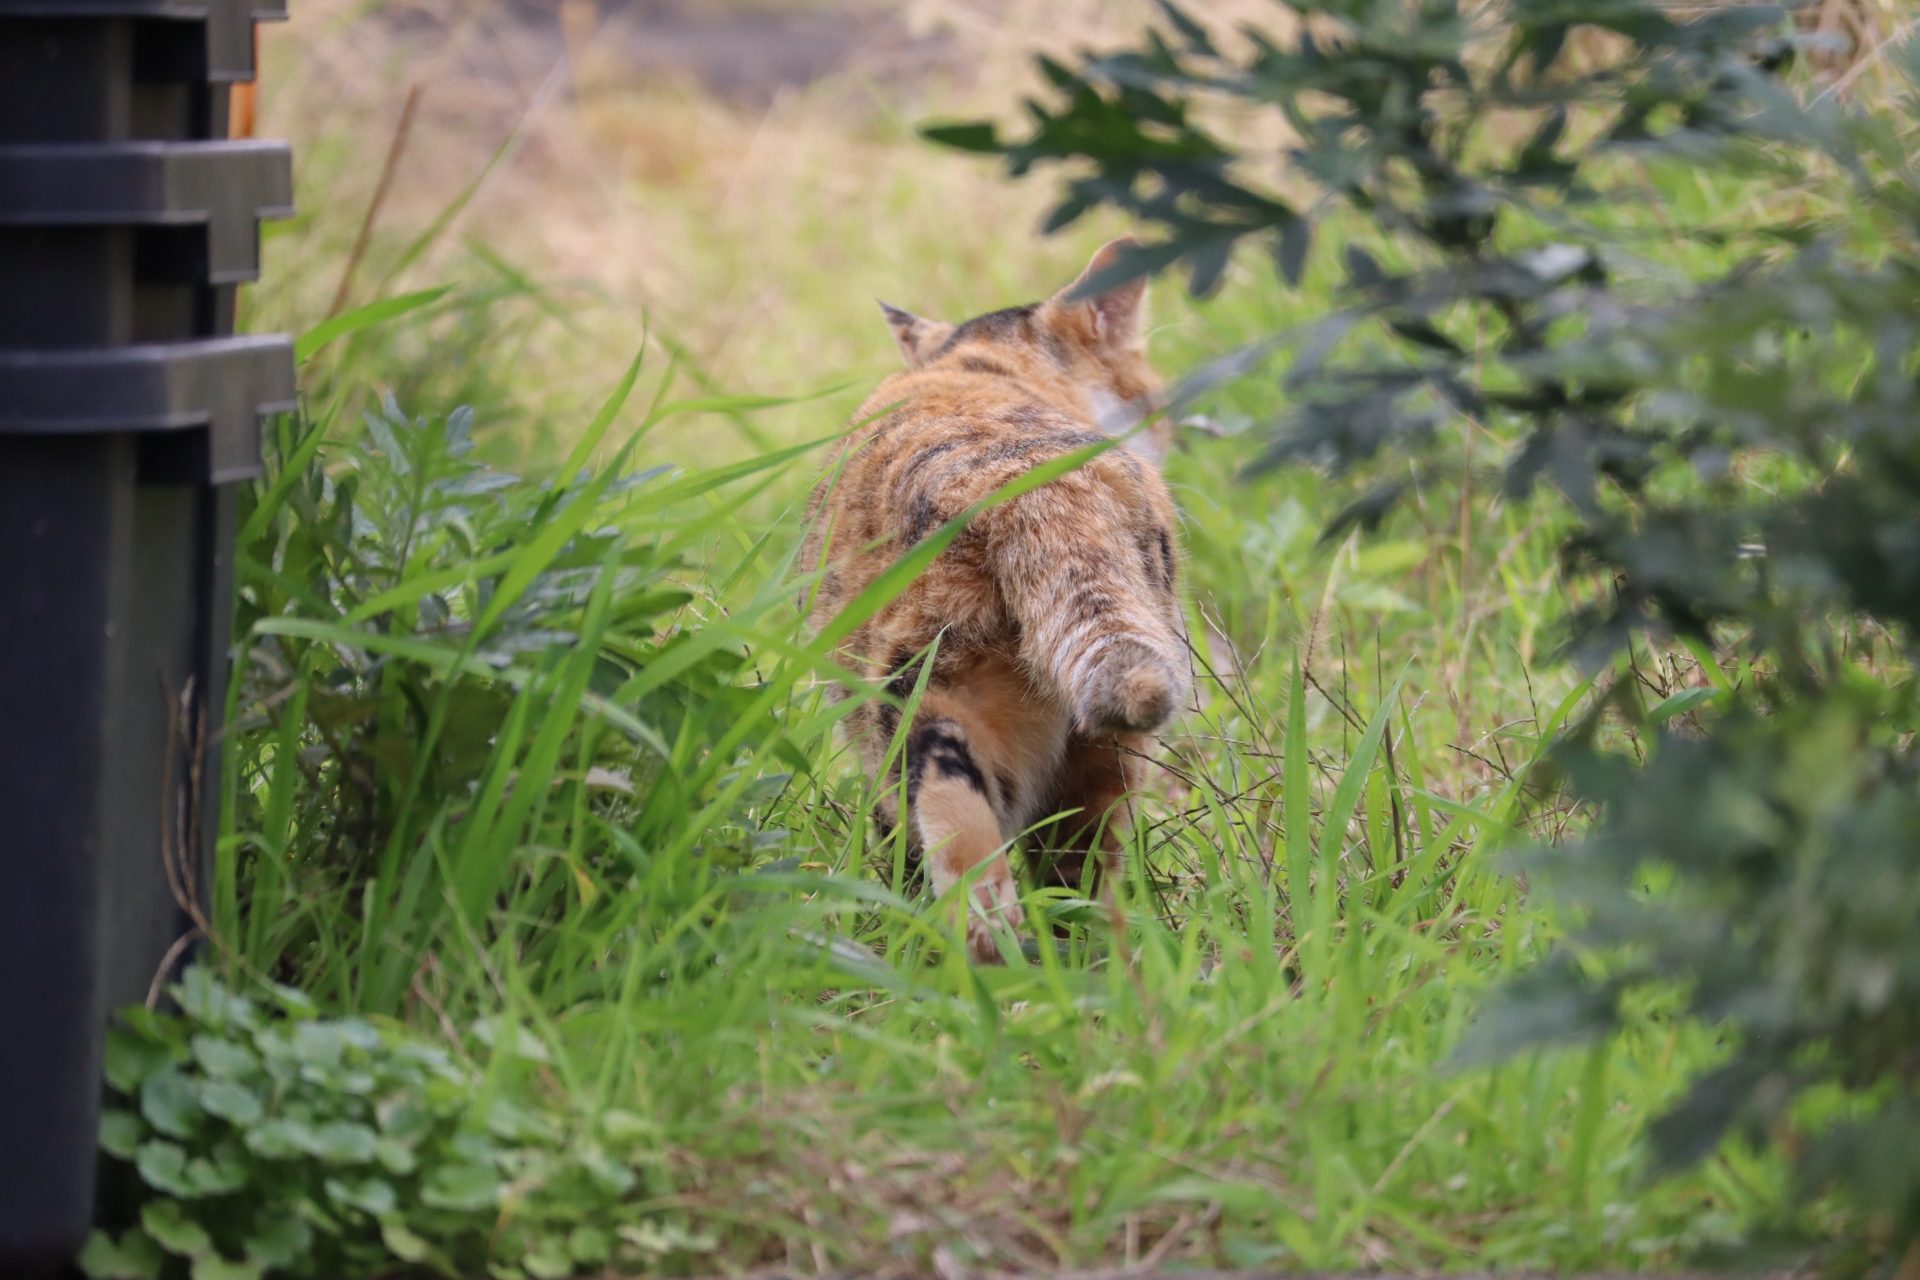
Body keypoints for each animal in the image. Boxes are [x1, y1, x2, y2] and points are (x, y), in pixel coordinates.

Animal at [794, 237, 1182, 959]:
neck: (979, 363)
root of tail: (1023, 480)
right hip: (1089, 743)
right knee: (1070, 881)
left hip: (928, 708)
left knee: (980, 884)